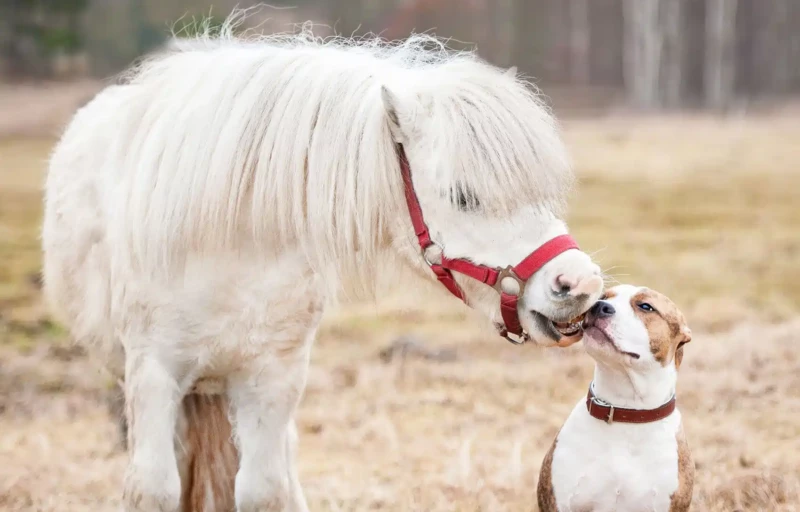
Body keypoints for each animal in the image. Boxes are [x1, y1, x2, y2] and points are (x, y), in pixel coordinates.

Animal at [39, 18, 600, 512]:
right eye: (465, 196)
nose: (579, 282)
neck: (228, 246)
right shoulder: (153, 375)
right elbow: (154, 489)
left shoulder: (272, 378)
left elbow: (264, 491)